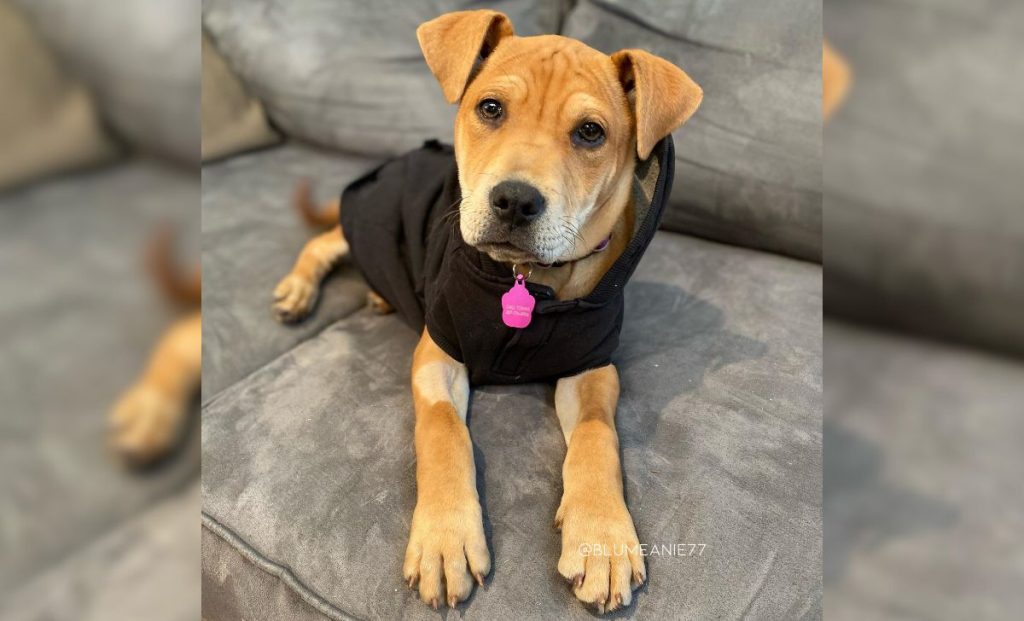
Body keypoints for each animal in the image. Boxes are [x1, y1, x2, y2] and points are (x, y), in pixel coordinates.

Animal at [272, 9, 704, 614]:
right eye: (490, 108)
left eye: (591, 132)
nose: (515, 202)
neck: (529, 280)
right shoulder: (437, 353)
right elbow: (443, 430)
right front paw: (445, 537)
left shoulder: (593, 367)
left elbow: (598, 437)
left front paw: (602, 536)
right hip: (369, 220)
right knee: (326, 239)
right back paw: (300, 290)